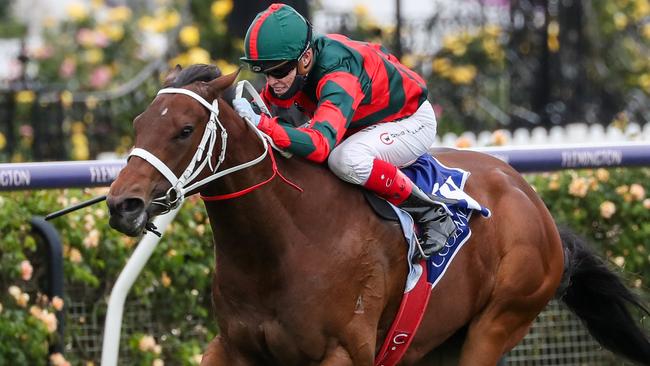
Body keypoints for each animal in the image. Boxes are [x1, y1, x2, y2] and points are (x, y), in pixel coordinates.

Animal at [107, 64, 648, 364]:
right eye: (137, 123)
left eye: (184, 129)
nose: (121, 204)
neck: (283, 244)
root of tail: (531, 199)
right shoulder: (233, 348)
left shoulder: (344, 351)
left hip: (498, 323)